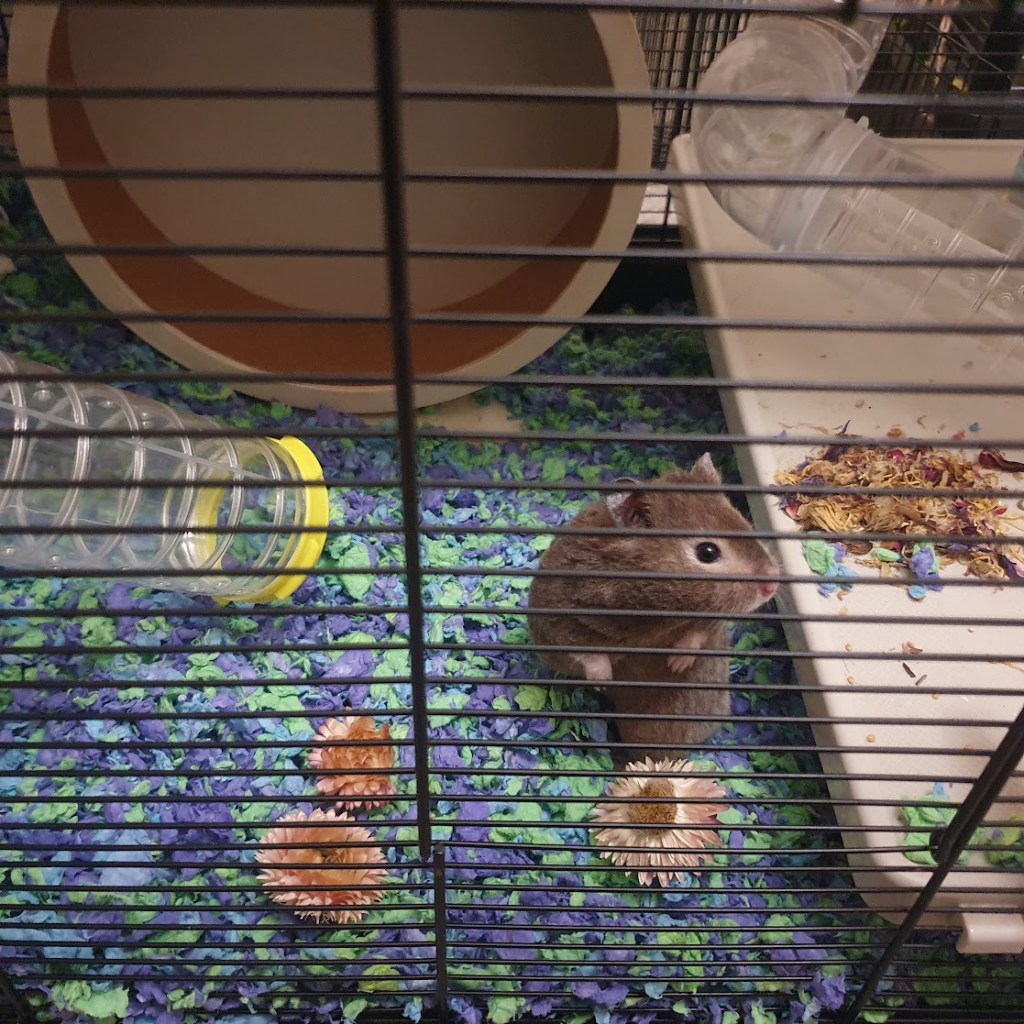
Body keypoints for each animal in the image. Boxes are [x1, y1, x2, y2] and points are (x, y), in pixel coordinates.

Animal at [527, 453, 779, 762]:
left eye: (746, 524)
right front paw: (603, 680)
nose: (773, 583)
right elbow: (584, 651)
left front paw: (676, 662)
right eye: (707, 552)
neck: (653, 609)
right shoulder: (556, 615)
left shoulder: (711, 618)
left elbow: (697, 633)